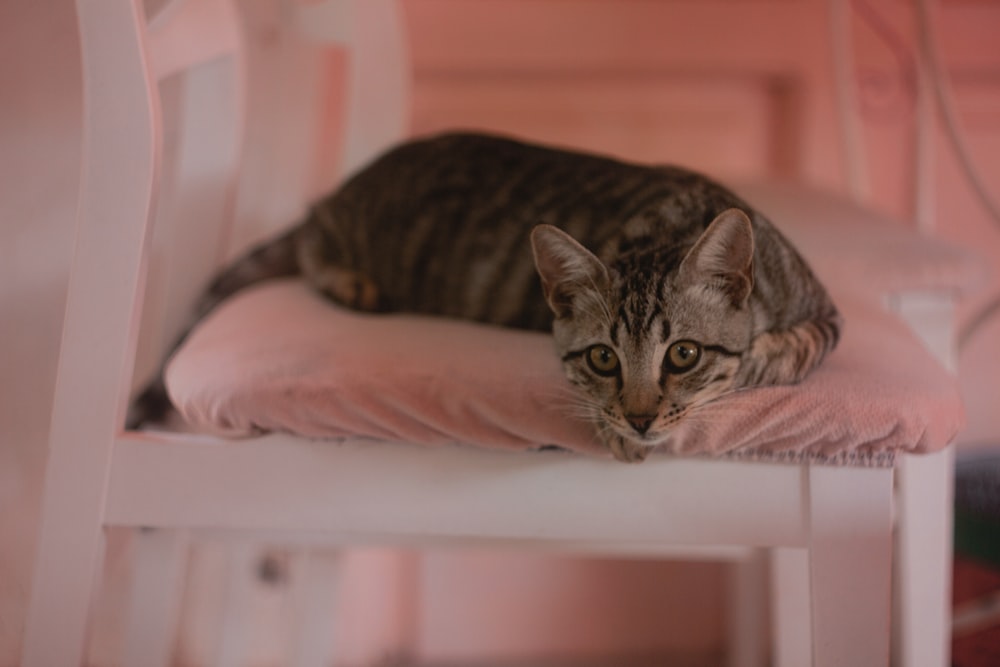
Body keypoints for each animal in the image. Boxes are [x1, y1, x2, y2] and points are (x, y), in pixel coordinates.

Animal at [131, 131, 836, 464]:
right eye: (603, 358)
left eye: (683, 354)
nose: (638, 418)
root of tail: (346, 186)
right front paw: (615, 430)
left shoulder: (826, 313)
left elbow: (794, 346)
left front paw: (754, 361)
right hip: (339, 228)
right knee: (309, 245)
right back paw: (351, 280)